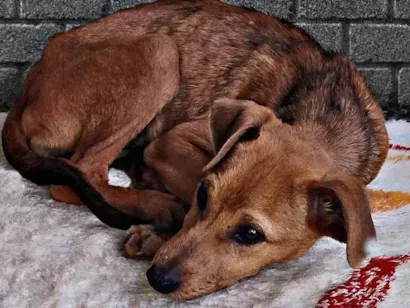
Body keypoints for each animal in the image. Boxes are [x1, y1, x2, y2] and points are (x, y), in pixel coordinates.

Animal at [2, 0, 388, 300]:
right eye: (204, 195)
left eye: (251, 235)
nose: (157, 279)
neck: (323, 116)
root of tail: (30, 82)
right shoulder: (172, 141)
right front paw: (159, 229)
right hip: (158, 54)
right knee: (76, 175)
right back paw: (156, 203)